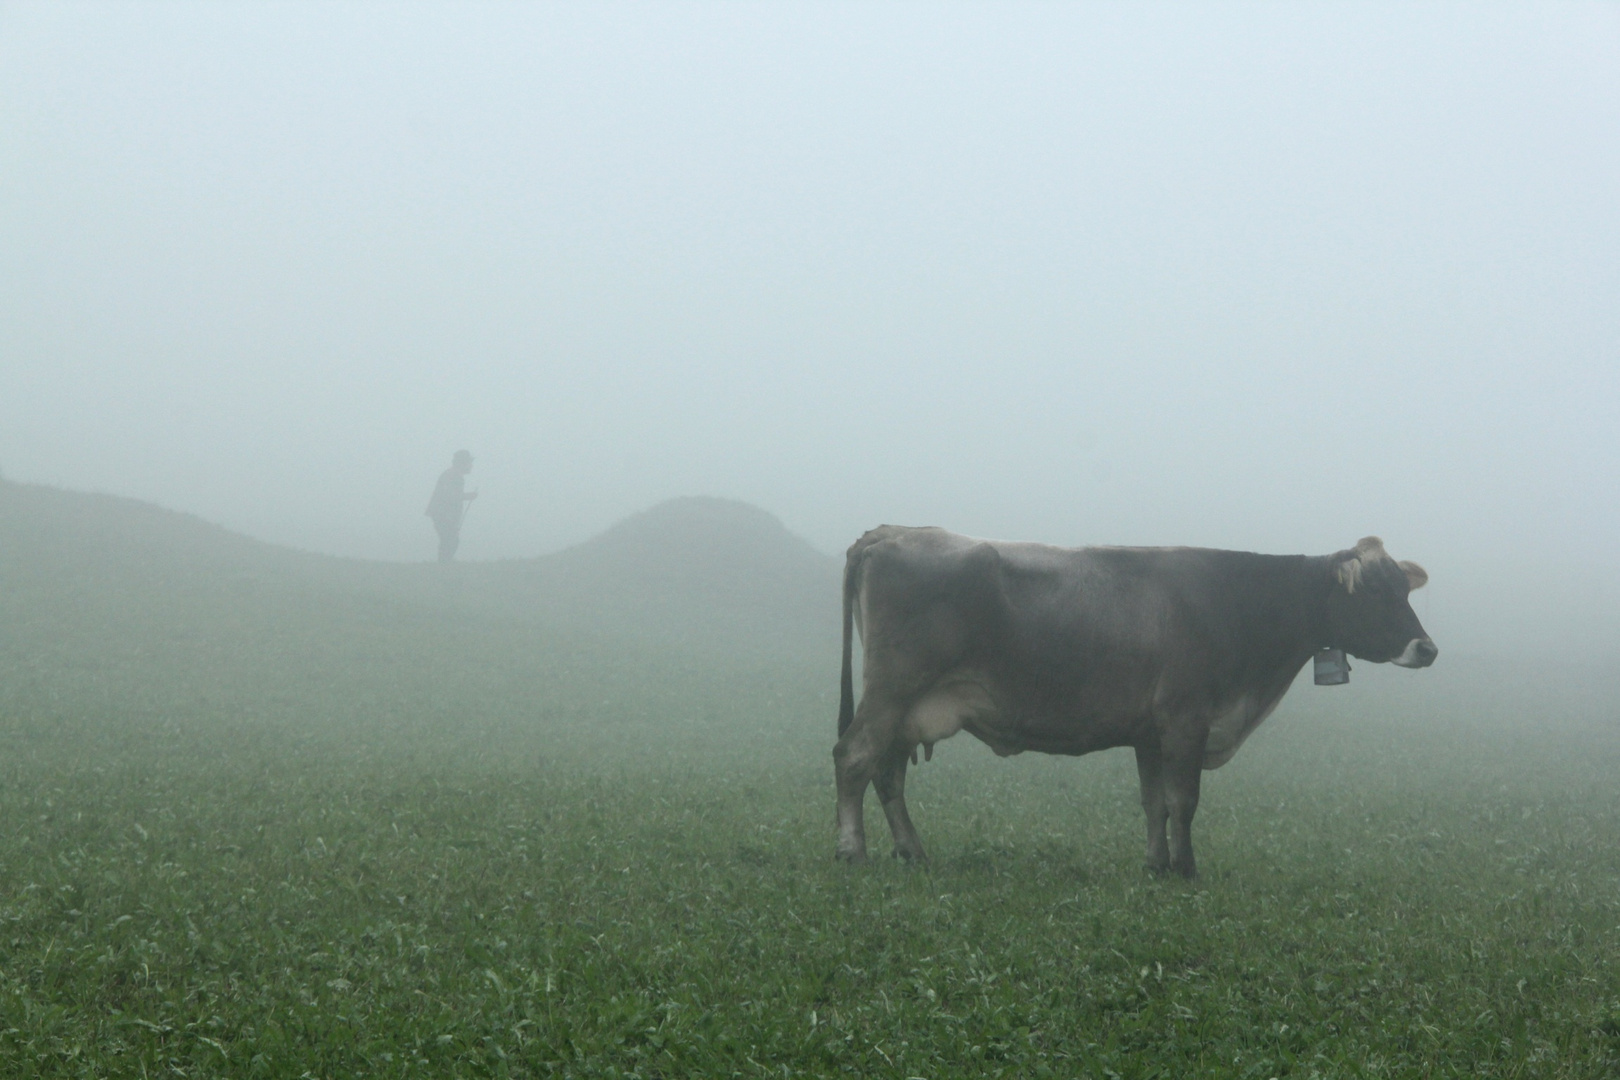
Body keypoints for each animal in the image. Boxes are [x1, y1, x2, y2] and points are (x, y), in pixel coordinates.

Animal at [829, 531, 1438, 880]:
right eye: (1378, 592)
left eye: (1405, 591)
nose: (1427, 649)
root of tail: (891, 534)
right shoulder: (1187, 721)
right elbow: (1185, 800)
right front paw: (1186, 869)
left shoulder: (1151, 733)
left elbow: (1155, 803)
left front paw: (1156, 864)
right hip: (892, 691)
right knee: (853, 758)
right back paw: (852, 850)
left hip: (908, 707)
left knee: (887, 774)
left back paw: (912, 851)